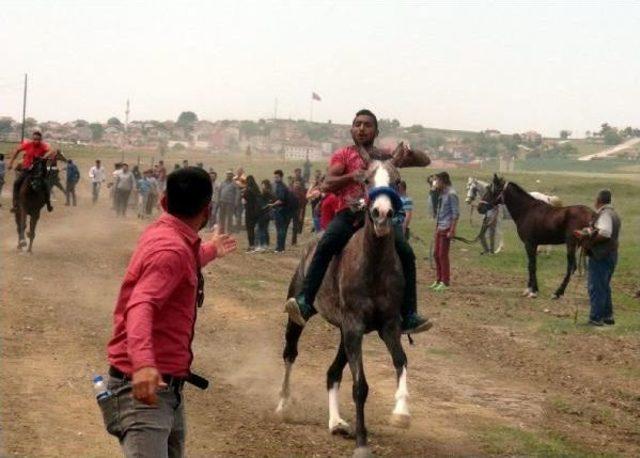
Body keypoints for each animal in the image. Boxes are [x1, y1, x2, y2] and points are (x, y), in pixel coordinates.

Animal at [278, 158, 418, 458]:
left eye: (397, 180)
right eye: (365, 180)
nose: (382, 214)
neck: (373, 265)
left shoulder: (387, 326)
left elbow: (400, 361)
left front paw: (401, 412)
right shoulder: (354, 326)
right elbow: (360, 386)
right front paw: (362, 443)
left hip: (346, 333)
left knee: (332, 373)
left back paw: (336, 422)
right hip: (303, 316)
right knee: (290, 353)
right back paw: (283, 404)